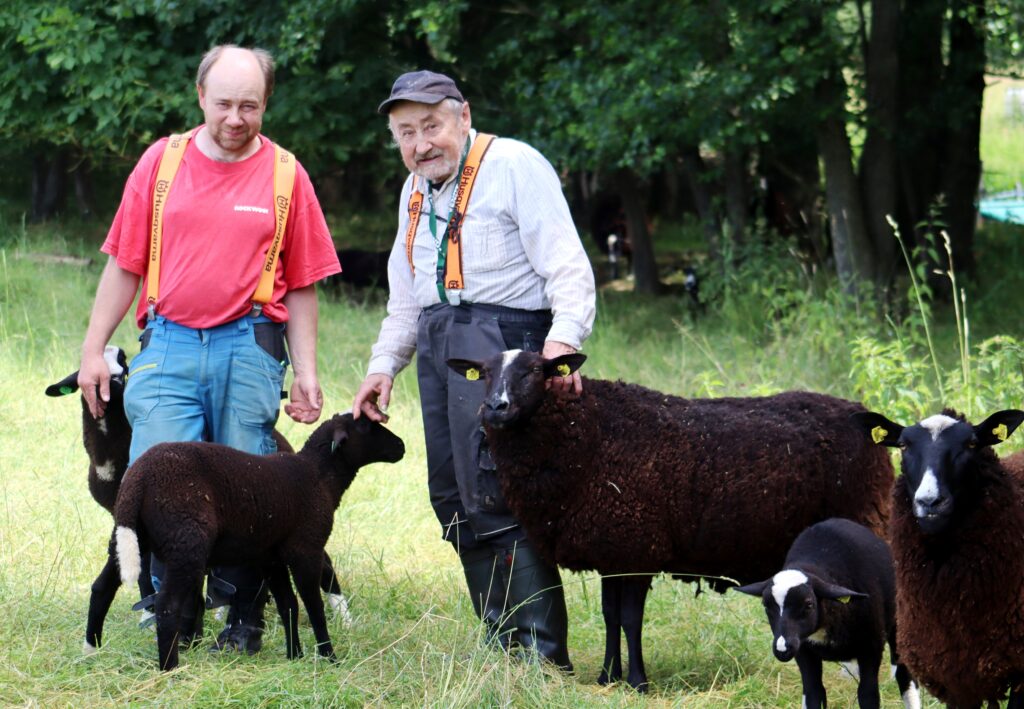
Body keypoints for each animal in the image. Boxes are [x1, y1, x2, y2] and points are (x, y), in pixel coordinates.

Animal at [111, 411, 399, 668]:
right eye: (366, 426)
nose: (401, 446)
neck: (319, 476)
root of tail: (138, 477)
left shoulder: (272, 559)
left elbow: (289, 605)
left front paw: (295, 656)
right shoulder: (306, 550)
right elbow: (313, 606)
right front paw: (330, 658)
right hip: (185, 544)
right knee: (167, 605)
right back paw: (169, 667)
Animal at [444, 350, 892, 692]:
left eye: (536, 371)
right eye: (484, 373)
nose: (495, 407)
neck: (587, 435)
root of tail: (862, 414)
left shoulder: (639, 549)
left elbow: (630, 620)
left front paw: (638, 682)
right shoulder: (613, 552)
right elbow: (610, 617)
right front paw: (608, 677)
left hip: (866, 518)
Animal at [737, 514, 921, 709]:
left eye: (809, 604)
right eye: (766, 606)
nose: (782, 649)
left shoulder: (871, 649)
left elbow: (868, 695)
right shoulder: (804, 652)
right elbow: (814, 693)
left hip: (898, 626)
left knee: (905, 677)